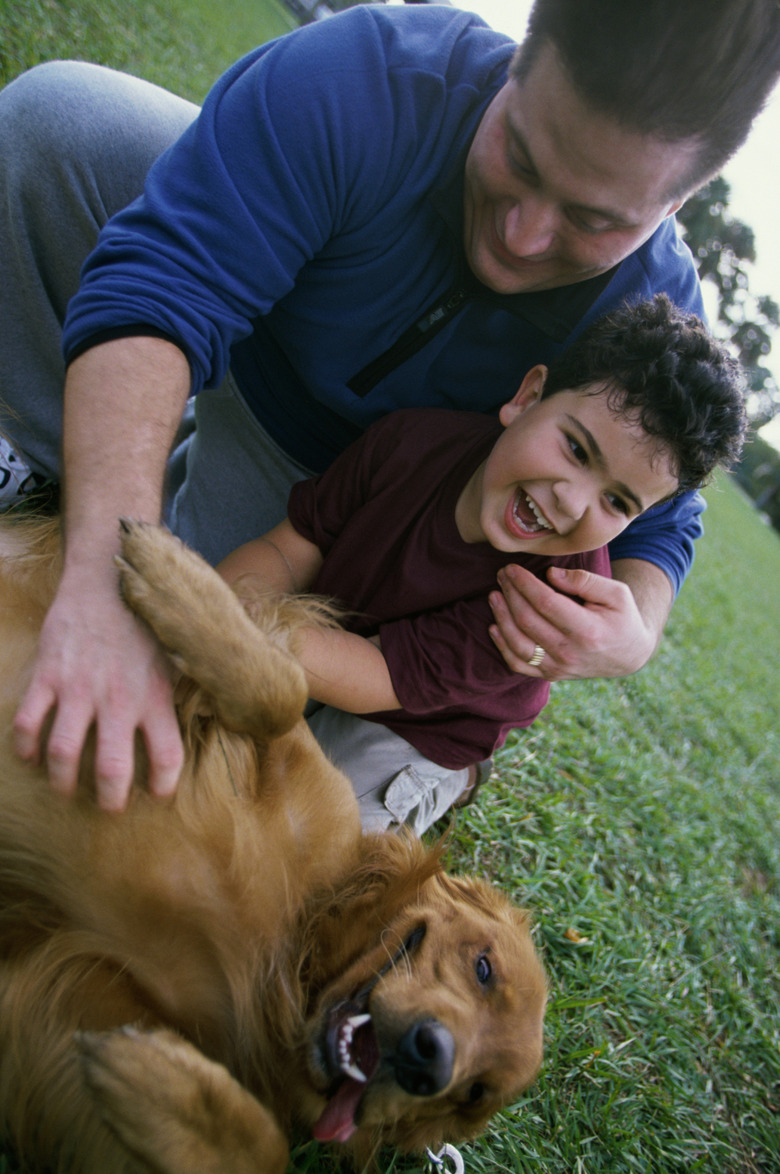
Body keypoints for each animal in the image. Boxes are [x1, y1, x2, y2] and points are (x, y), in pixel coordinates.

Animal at [0, 518, 547, 1174]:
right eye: (483, 967)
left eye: (475, 1093)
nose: (430, 1060)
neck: (299, 935)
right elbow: (284, 691)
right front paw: (175, 577)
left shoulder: (74, 995)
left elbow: (266, 1150)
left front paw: (159, 1082)